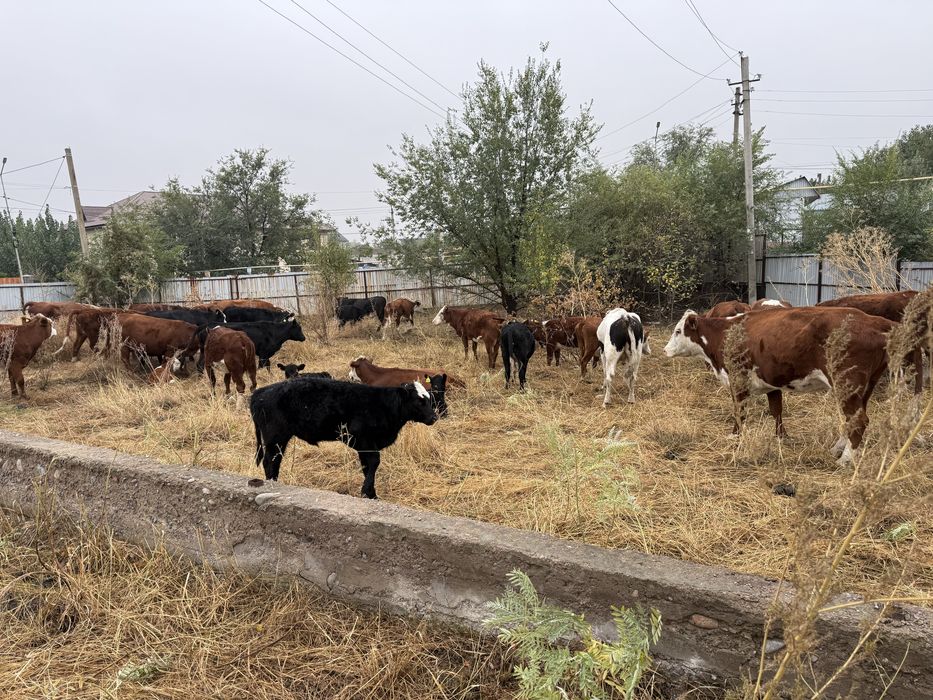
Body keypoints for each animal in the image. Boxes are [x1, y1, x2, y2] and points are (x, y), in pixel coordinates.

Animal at [250, 377, 438, 498]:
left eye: (429, 398)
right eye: (419, 401)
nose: (434, 417)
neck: (383, 405)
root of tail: (261, 392)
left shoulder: (365, 446)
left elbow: (367, 466)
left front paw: (371, 493)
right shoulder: (363, 439)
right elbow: (374, 462)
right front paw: (367, 492)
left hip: (278, 440)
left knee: (275, 461)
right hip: (275, 437)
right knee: (270, 461)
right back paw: (272, 482)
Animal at [664, 307, 895, 465]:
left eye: (678, 331)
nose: (665, 350)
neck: (724, 334)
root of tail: (873, 320)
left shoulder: (738, 380)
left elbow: (740, 412)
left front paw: (735, 436)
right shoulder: (771, 382)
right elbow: (776, 410)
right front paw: (781, 437)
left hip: (846, 384)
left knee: (858, 420)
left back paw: (845, 459)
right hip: (865, 388)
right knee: (853, 419)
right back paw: (837, 449)